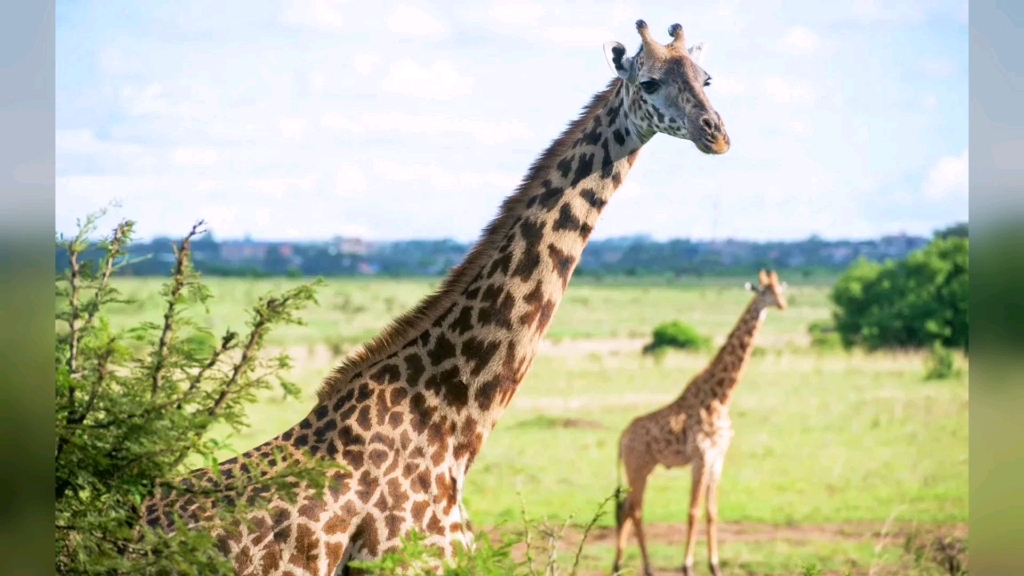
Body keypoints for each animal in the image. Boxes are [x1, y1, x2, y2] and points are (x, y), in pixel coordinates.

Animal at [610, 268, 786, 573]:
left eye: (781, 289)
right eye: (765, 291)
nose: (783, 304)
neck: (721, 397)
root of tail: (622, 438)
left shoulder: (717, 458)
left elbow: (712, 511)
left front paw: (715, 565)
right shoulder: (700, 457)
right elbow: (693, 511)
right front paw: (687, 565)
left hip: (645, 467)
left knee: (626, 509)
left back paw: (619, 564)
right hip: (638, 466)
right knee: (636, 509)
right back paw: (648, 566)